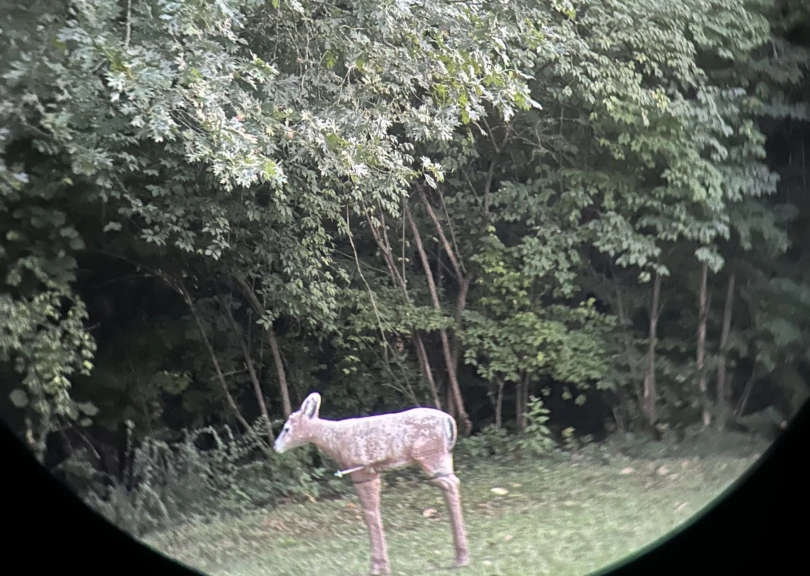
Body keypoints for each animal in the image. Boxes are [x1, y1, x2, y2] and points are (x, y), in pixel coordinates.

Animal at [273, 392, 470, 575]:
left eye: (287, 429)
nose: (275, 447)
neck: (334, 441)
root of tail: (450, 422)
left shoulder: (361, 471)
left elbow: (369, 513)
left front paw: (377, 567)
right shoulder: (373, 473)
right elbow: (373, 510)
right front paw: (383, 566)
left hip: (429, 455)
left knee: (450, 483)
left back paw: (461, 558)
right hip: (443, 456)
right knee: (451, 482)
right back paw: (460, 556)